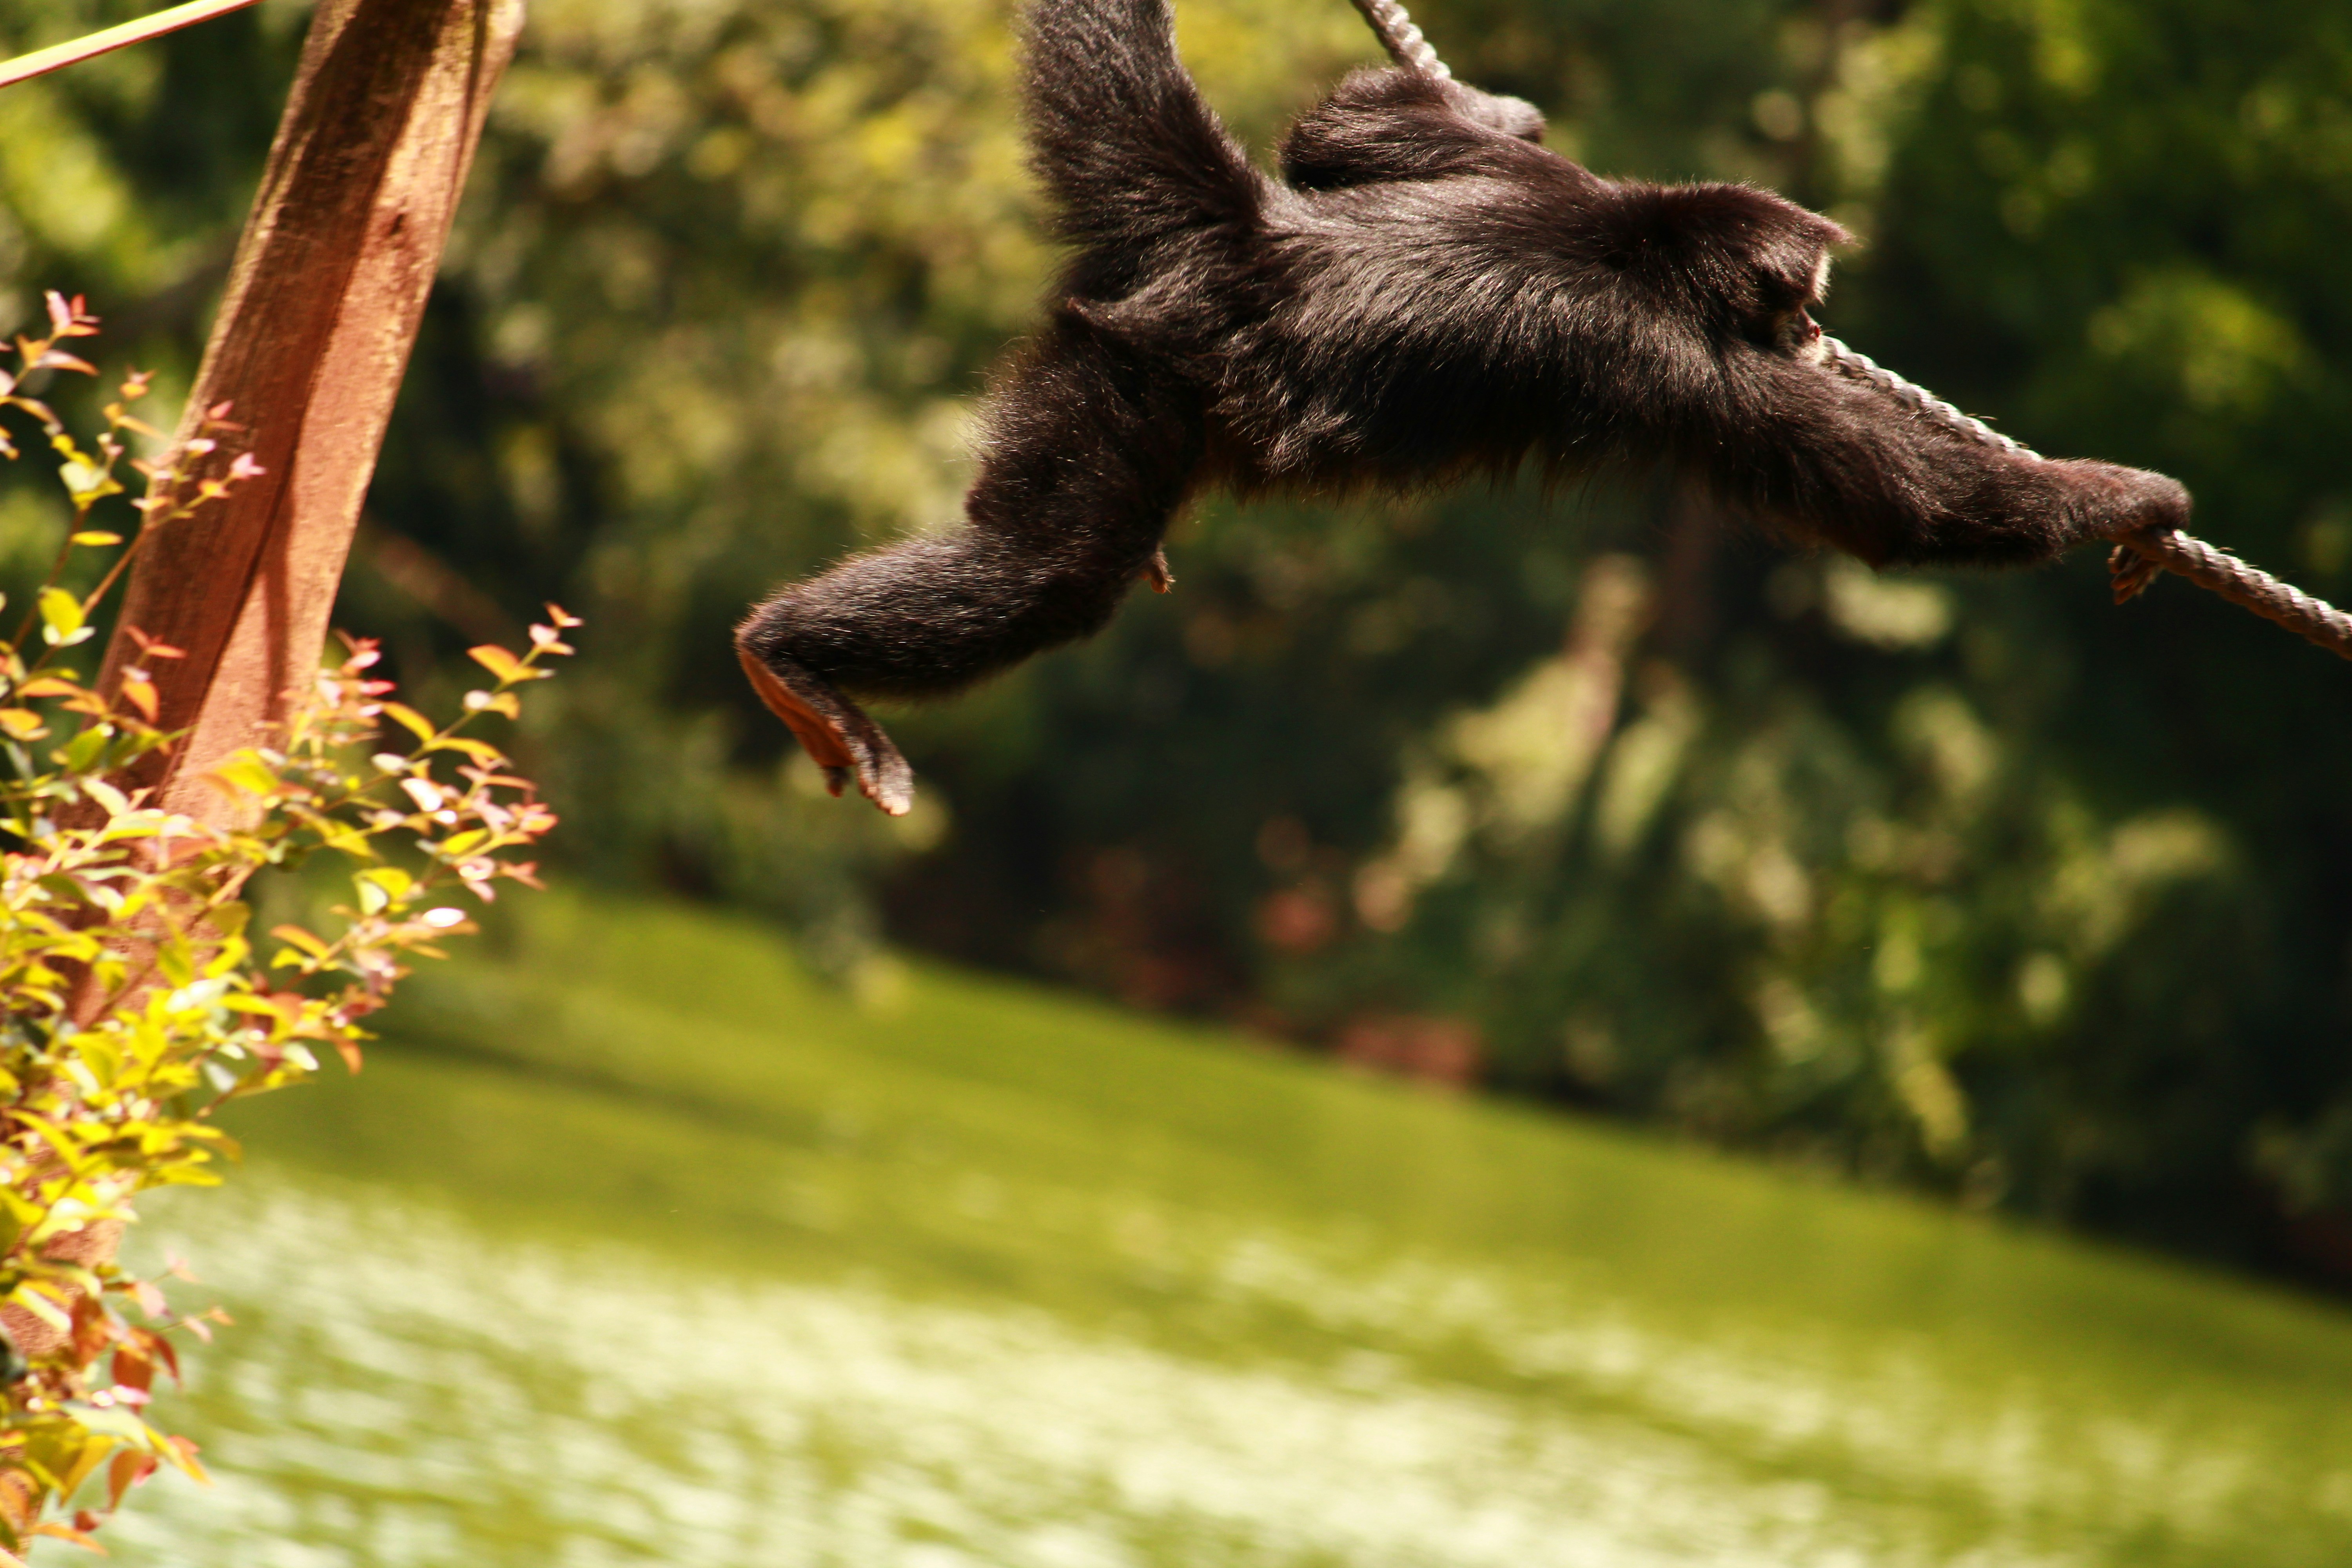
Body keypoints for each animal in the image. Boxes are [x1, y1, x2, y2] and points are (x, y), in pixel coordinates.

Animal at [734, 0, 2191, 815]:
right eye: (1793, 309)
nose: (1814, 331)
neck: (1637, 233)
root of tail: (1240, 240)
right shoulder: (1681, 364)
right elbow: (1901, 510)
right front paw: (2132, 498)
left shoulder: (1554, 186)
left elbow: (1348, 129)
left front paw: (1487, 102)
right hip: (1137, 372)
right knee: (1051, 572)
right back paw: (793, 658)